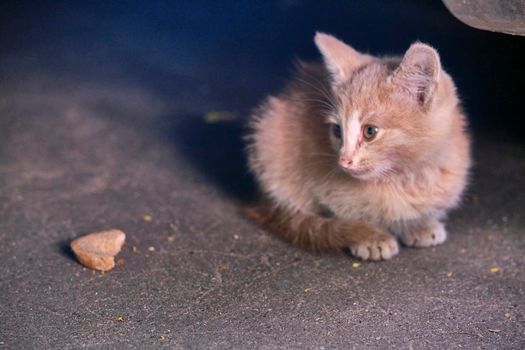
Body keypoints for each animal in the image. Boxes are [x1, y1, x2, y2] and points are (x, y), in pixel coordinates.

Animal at [246, 32, 470, 262]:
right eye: (337, 130)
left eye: (370, 131)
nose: (343, 160)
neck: (401, 179)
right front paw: (369, 236)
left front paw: (419, 224)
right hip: (268, 140)